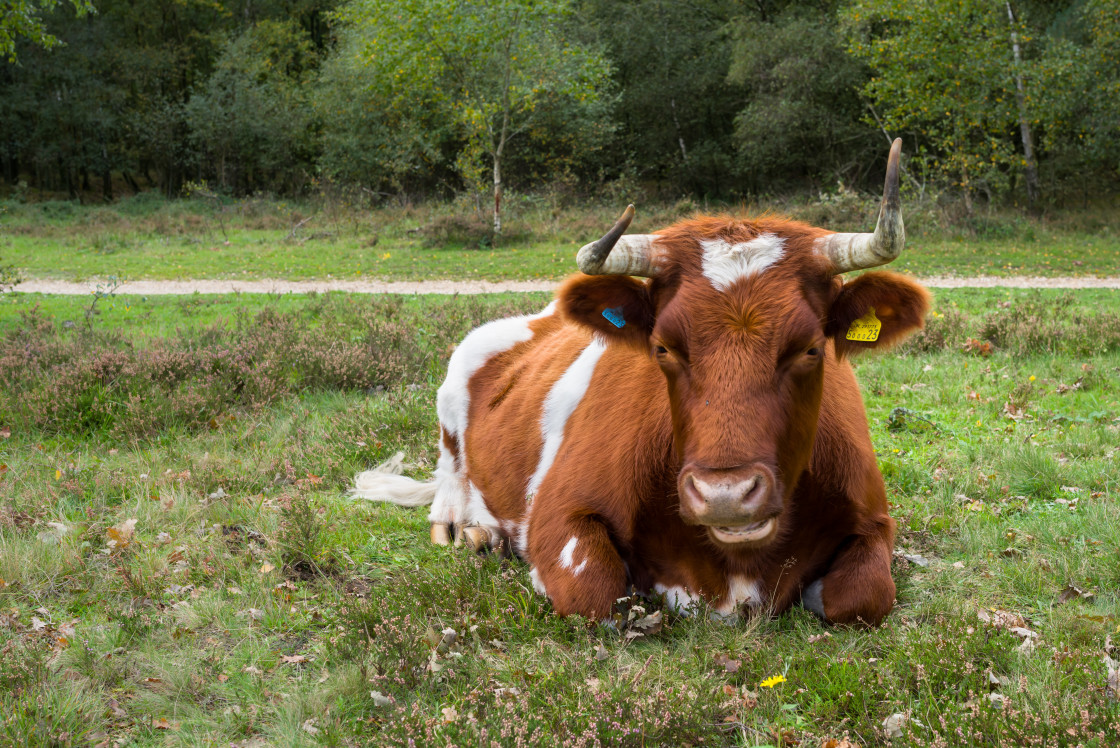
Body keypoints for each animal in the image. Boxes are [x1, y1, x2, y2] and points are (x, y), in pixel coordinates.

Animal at [356, 139, 927, 627]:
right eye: (663, 348)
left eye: (810, 348)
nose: (725, 495)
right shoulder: (558, 512)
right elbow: (594, 592)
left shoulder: (874, 521)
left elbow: (862, 594)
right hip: (454, 389)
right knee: (450, 483)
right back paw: (473, 531)